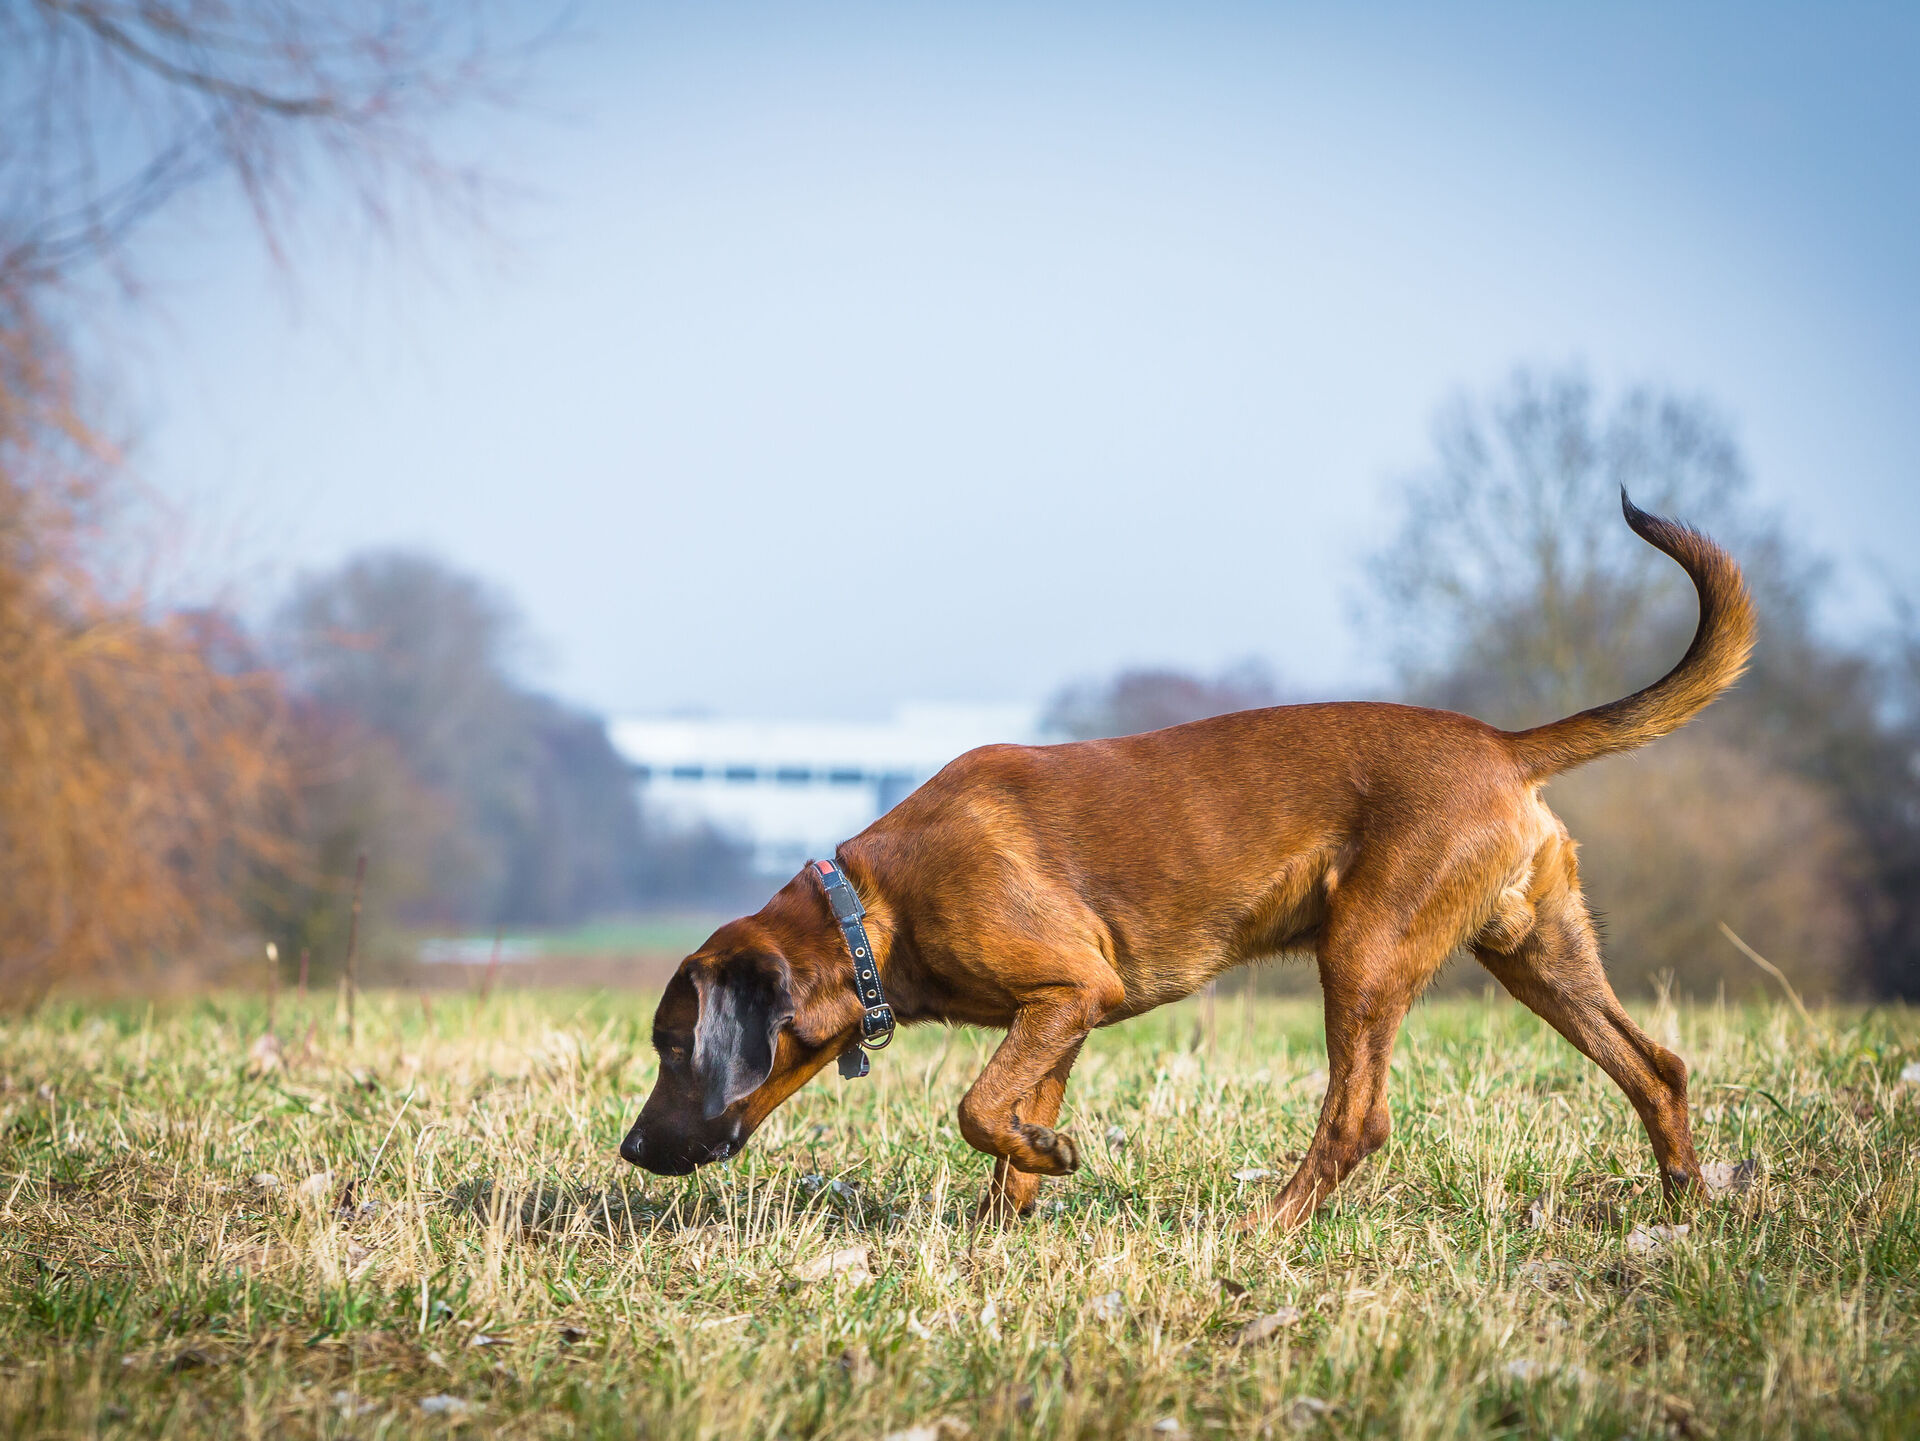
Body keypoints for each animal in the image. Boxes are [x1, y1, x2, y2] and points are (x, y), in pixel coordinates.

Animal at [625, 495, 1758, 1228]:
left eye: (674, 1045)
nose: (630, 1150)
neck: (871, 908)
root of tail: (1506, 745)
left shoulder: (1069, 989)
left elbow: (977, 1107)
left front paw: (1047, 1162)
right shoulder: (1059, 1015)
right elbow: (1010, 1127)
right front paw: (1010, 1212)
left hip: (1365, 955)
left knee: (1359, 1119)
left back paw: (1271, 1229)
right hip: (1537, 954)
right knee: (1656, 1066)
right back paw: (1689, 1209)